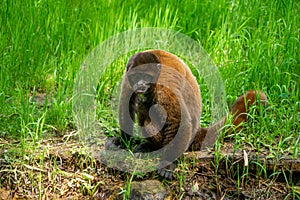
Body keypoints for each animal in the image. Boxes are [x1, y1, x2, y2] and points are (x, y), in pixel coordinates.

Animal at [110, 49, 268, 179]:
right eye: (137, 76)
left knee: (145, 107)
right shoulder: (127, 78)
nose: (141, 85)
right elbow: (126, 107)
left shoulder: (164, 86)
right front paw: (123, 141)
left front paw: (167, 163)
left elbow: (180, 122)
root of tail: (197, 131)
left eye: (146, 77)